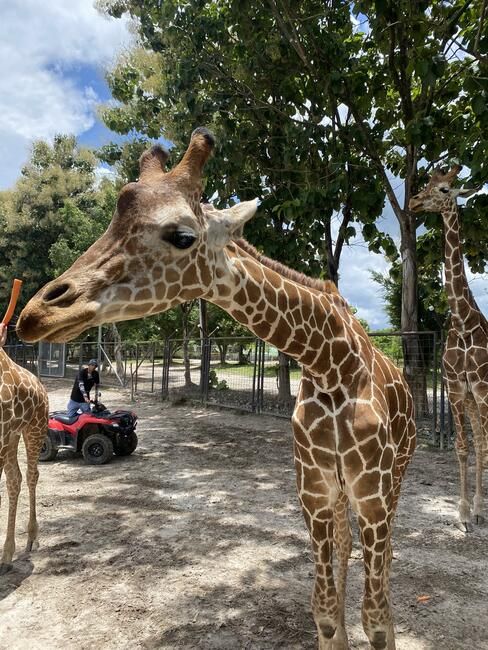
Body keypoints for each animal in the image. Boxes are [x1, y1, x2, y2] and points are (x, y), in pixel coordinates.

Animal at [17, 128, 416, 650]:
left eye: (182, 236)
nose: (38, 313)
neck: (331, 364)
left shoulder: (372, 494)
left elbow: (379, 619)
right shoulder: (313, 492)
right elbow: (326, 612)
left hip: (393, 481)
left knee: (384, 557)